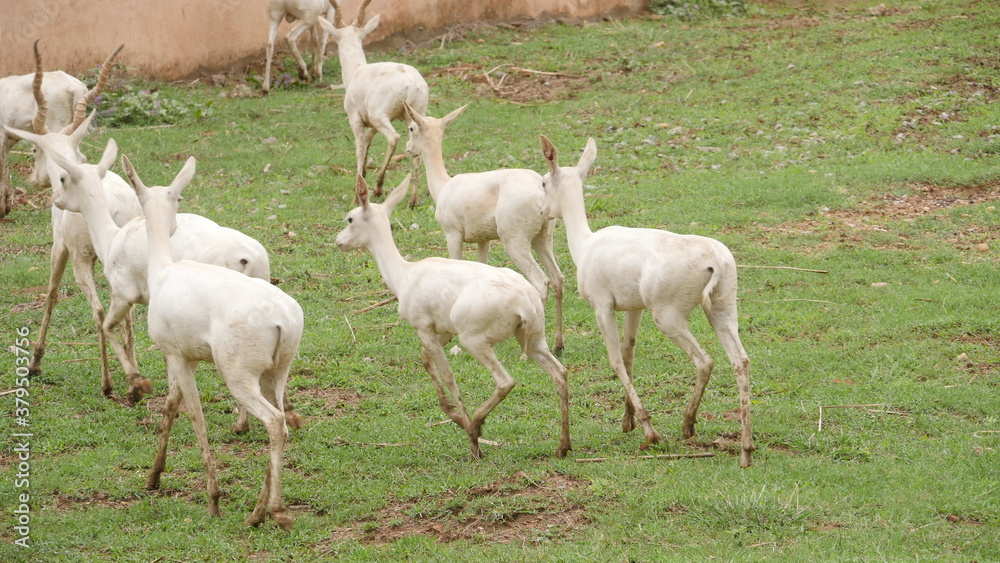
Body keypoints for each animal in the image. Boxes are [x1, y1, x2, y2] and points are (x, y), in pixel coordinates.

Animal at [121, 153, 303, 530]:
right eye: (175, 197)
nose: (174, 226)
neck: (161, 272)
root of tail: (285, 320)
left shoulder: (174, 352)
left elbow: (193, 415)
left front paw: (213, 501)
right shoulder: (185, 356)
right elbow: (172, 405)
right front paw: (153, 476)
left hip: (238, 371)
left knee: (273, 421)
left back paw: (272, 512)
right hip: (278, 370)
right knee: (283, 421)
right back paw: (257, 512)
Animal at [319, 0, 429, 197]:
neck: (356, 71)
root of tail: (410, 81)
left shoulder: (355, 118)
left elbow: (359, 149)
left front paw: (357, 190)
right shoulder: (370, 124)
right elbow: (368, 141)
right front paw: (362, 177)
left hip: (380, 117)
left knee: (393, 138)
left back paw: (378, 186)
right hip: (415, 115)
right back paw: (412, 199)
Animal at [336, 174, 571, 460]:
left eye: (350, 218)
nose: (338, 241)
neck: (404, 276)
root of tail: (524, 302)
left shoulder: (423, 327)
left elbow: (447, 375)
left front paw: (468, 433)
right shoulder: (442, 330)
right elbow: (426, 361)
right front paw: (453, 415)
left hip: (475, 339)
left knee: (506, 381)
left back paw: (476, 428)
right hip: (534, 337)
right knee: (561, 373)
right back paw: (563, 446)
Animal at [403, 103, 565, 354]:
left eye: (411, 127)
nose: (408, 149)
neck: (443, 186)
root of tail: (541, 188)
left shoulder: (452, 234)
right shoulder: (483, 239)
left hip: (514, 240)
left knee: (541, 282)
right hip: (543, 238)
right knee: (558, 279)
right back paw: (558, 343)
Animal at [538, 135, 754, 468]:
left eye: (543, 182)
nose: (541, 211)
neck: (583, 246)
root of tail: (716, 261)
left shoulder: (601, 304)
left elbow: (615, 359)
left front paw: (649, 431)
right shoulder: (632, 306)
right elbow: (629, 355)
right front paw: (627, 422)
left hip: (667, 313)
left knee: (705, 359)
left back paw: (688, 425)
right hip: (724, 306)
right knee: (740, 360)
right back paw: (745, 450)